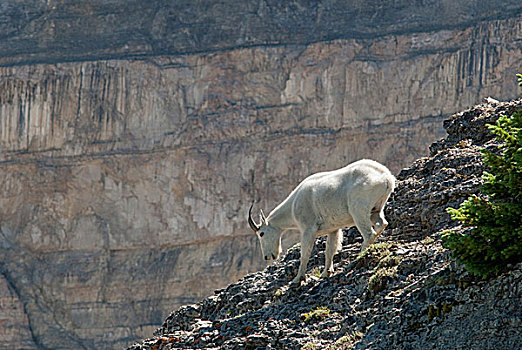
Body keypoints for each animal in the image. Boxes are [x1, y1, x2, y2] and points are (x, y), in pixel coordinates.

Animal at [248, 159, 394, 284]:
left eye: (261, 234)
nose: (268, 257)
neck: (293, 205)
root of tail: (386, 178)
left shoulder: (308, 229)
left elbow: (305, 254)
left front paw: (297, 279)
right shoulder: (333, 229)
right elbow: (329, 250)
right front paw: (326, 273)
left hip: (358, 210)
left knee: (369, 233)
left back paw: (358, 258)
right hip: (376, 209)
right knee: (382, 224)